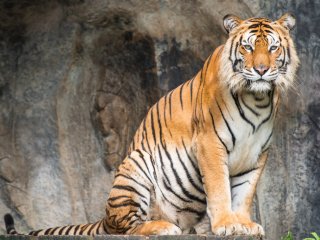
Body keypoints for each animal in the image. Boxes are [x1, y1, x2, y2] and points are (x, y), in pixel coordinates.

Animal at [3, 12, 298, 236]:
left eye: (273, 48)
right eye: (248, 47)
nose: (261, 70)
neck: (257, 98)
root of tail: (104, 216)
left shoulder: (257, 153)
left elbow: (245, 193)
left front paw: (244, 224)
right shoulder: (210, 143)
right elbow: (220, 188)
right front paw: (227, 224)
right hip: (136, 168)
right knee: (128, 227)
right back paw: (162, 227)